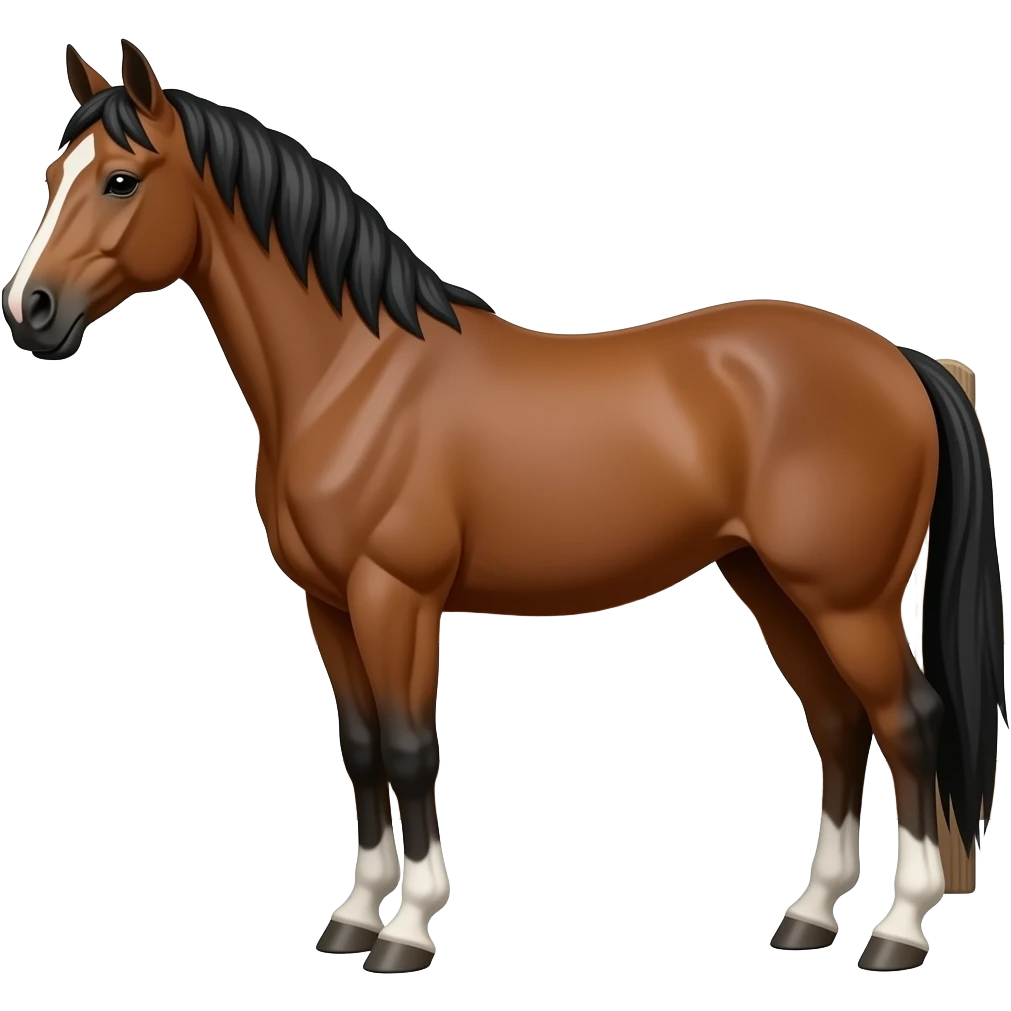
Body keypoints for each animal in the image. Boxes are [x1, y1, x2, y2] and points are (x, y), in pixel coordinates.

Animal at [4, 41, 1004, 975]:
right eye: (55, 176)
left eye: (122, 179)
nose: (30, 310)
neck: (352, 377)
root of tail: (901, 360)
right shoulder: (328, 605)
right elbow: (360, 748)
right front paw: (352, 916)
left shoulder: (395, 597)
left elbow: (411, 747)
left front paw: (407, 928)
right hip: (769, 583)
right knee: (837, 724)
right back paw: (808, 914)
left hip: (845, 598)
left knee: (909, 722)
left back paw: (897, 929)